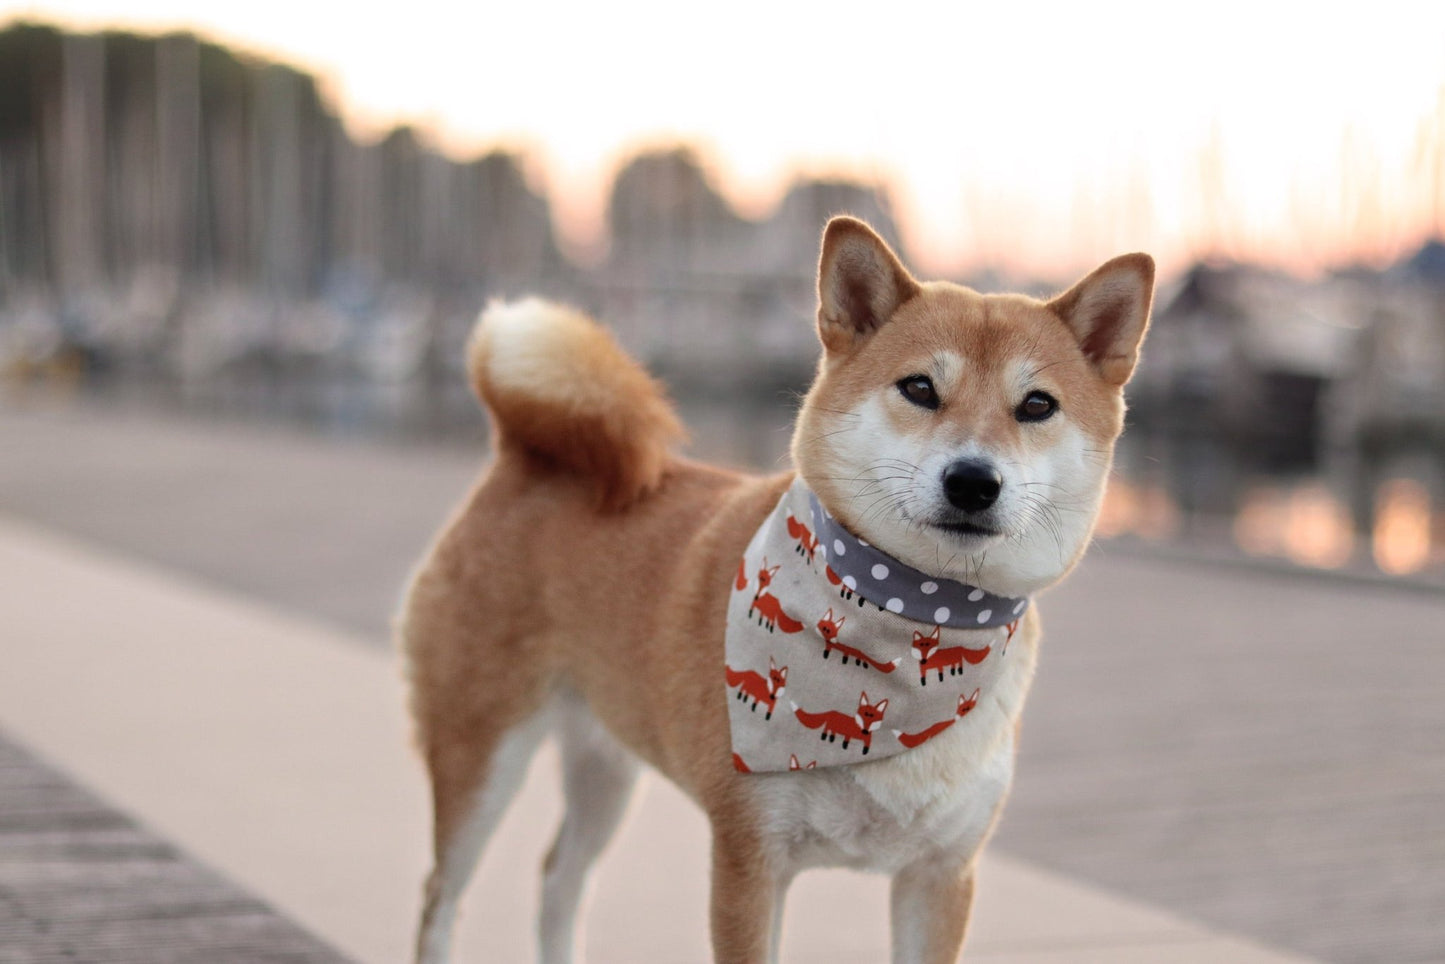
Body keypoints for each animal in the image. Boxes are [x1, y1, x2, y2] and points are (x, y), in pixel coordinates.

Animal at [402, 215, 1154, 963]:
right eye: (919, 388)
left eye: (1037, 405)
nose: (973, 480)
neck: (915, 611)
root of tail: (526, 458)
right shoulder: (750, 859)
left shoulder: (940, 876)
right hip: (481, 755)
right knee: (441, 899)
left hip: (604, 766)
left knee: (560, 877)